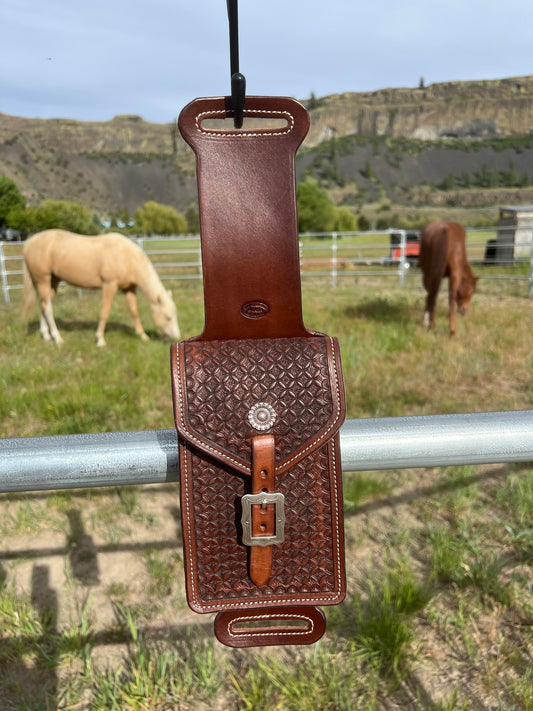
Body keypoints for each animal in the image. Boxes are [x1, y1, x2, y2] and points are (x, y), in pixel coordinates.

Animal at [22, 231, 181, 348]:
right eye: (168, 317)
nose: (177, 337)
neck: (126, 257)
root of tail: (30, 242)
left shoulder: (129, 289)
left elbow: (134, 312)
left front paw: (143, 336)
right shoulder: (109, 285)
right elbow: (105, 312)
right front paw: (100, 340)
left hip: (52, 282)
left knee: (43, 305)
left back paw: (46, 336)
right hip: (43, 280)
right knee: (48, 308)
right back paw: (57, 338)